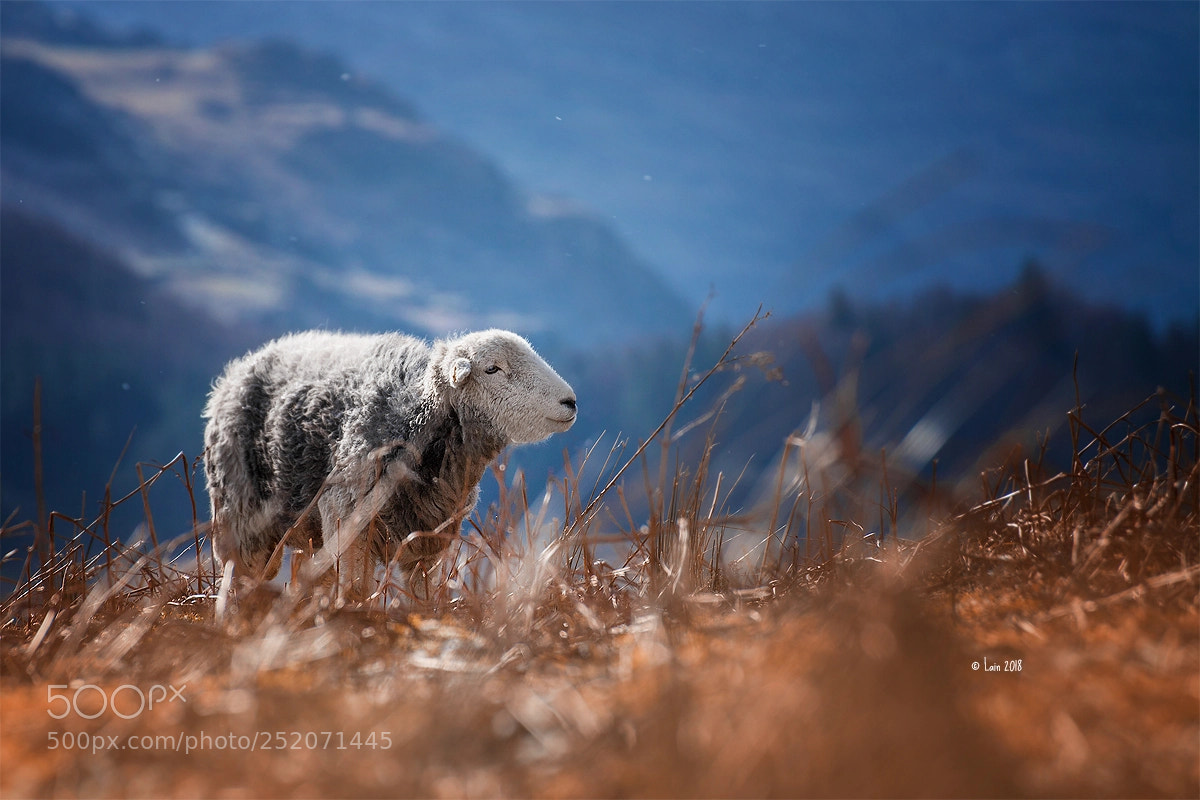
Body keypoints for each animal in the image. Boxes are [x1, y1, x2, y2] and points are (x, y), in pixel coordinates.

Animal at [202, 328, 577, 608]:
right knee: (241, 577)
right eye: (492, 369)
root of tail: (237, 370)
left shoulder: (430, 537)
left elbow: (423, 597)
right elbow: (354, 591)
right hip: (238, 515)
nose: (570, 402)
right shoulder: (348, 519)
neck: (416, 425)